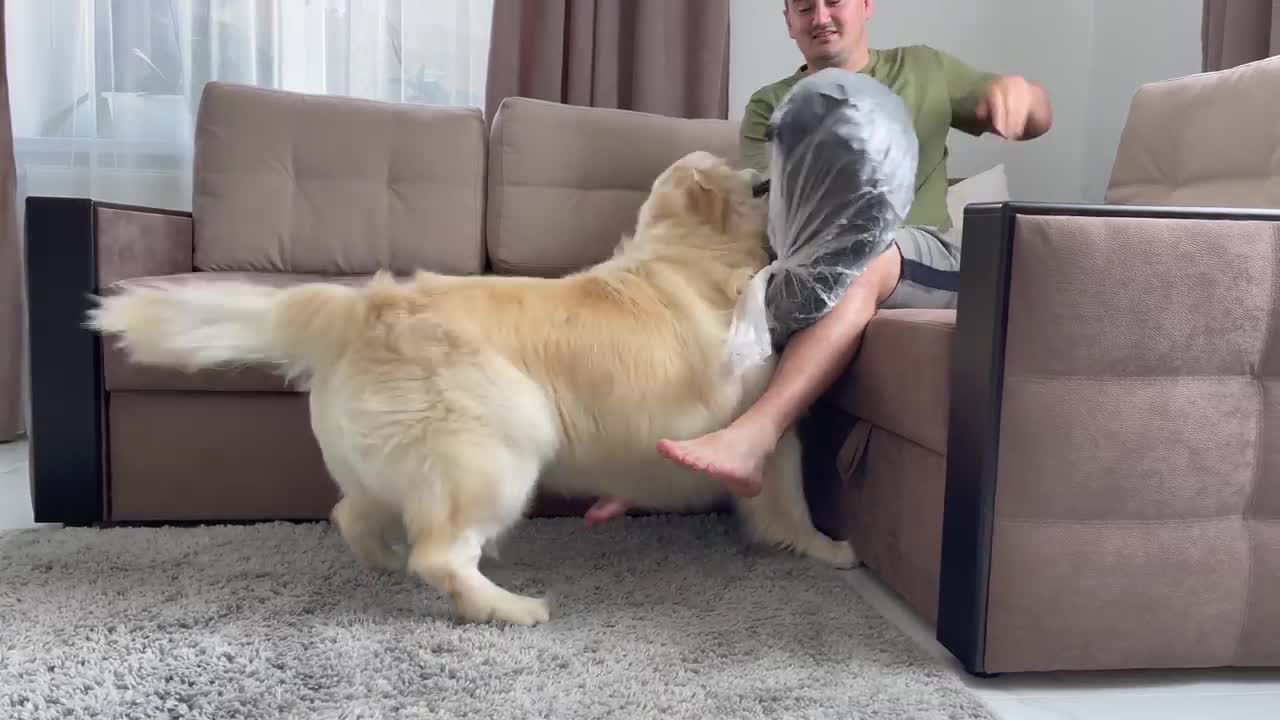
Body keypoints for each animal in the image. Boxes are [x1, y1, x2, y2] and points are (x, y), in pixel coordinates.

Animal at [85, 149, 855, 622]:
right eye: (735, 175)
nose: (763, 174)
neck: (687, 252)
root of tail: (362, 307)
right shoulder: (766, 420)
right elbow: (791, 496)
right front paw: (824, 549)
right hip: (500, 444)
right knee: (443, 555)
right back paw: (509, 608)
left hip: (388, 460)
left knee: (354, 515)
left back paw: (387, 563)